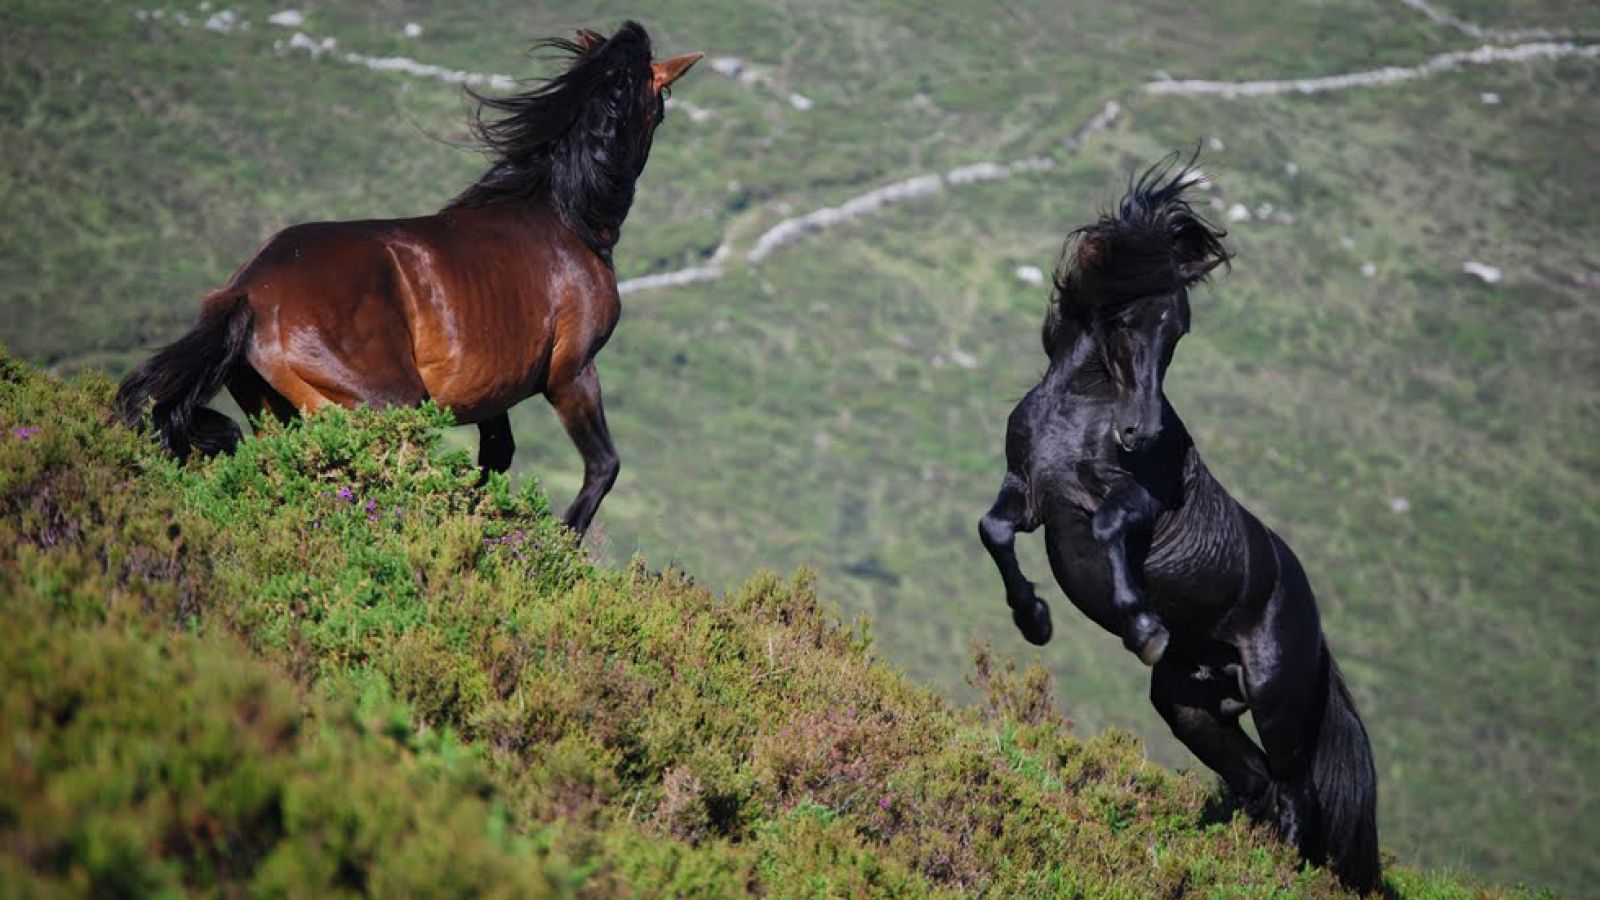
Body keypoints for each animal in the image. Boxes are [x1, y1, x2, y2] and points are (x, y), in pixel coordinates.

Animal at [115, 22, 702, 537]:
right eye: (663, 100)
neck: (563, 216)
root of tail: (248, 292)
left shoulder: (494, 398)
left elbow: (496, 460)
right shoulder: (572, 374)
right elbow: (602, 466)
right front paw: (562, 540)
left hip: (276, 413)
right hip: (383, 410)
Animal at [977, 159, 1381, 893]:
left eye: (1179, 330)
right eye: (1127, 320)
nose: (1140, 431)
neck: (1081, 412)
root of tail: (1316, 635)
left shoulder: (1133, 505)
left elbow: (1110, 524)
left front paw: (1142, 627)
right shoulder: (1028, 496)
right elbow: (992, 531)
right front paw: (1035, 620)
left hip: (1278, 706)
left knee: (1298, 794)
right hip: (1192, 708)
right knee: (1263, 788)